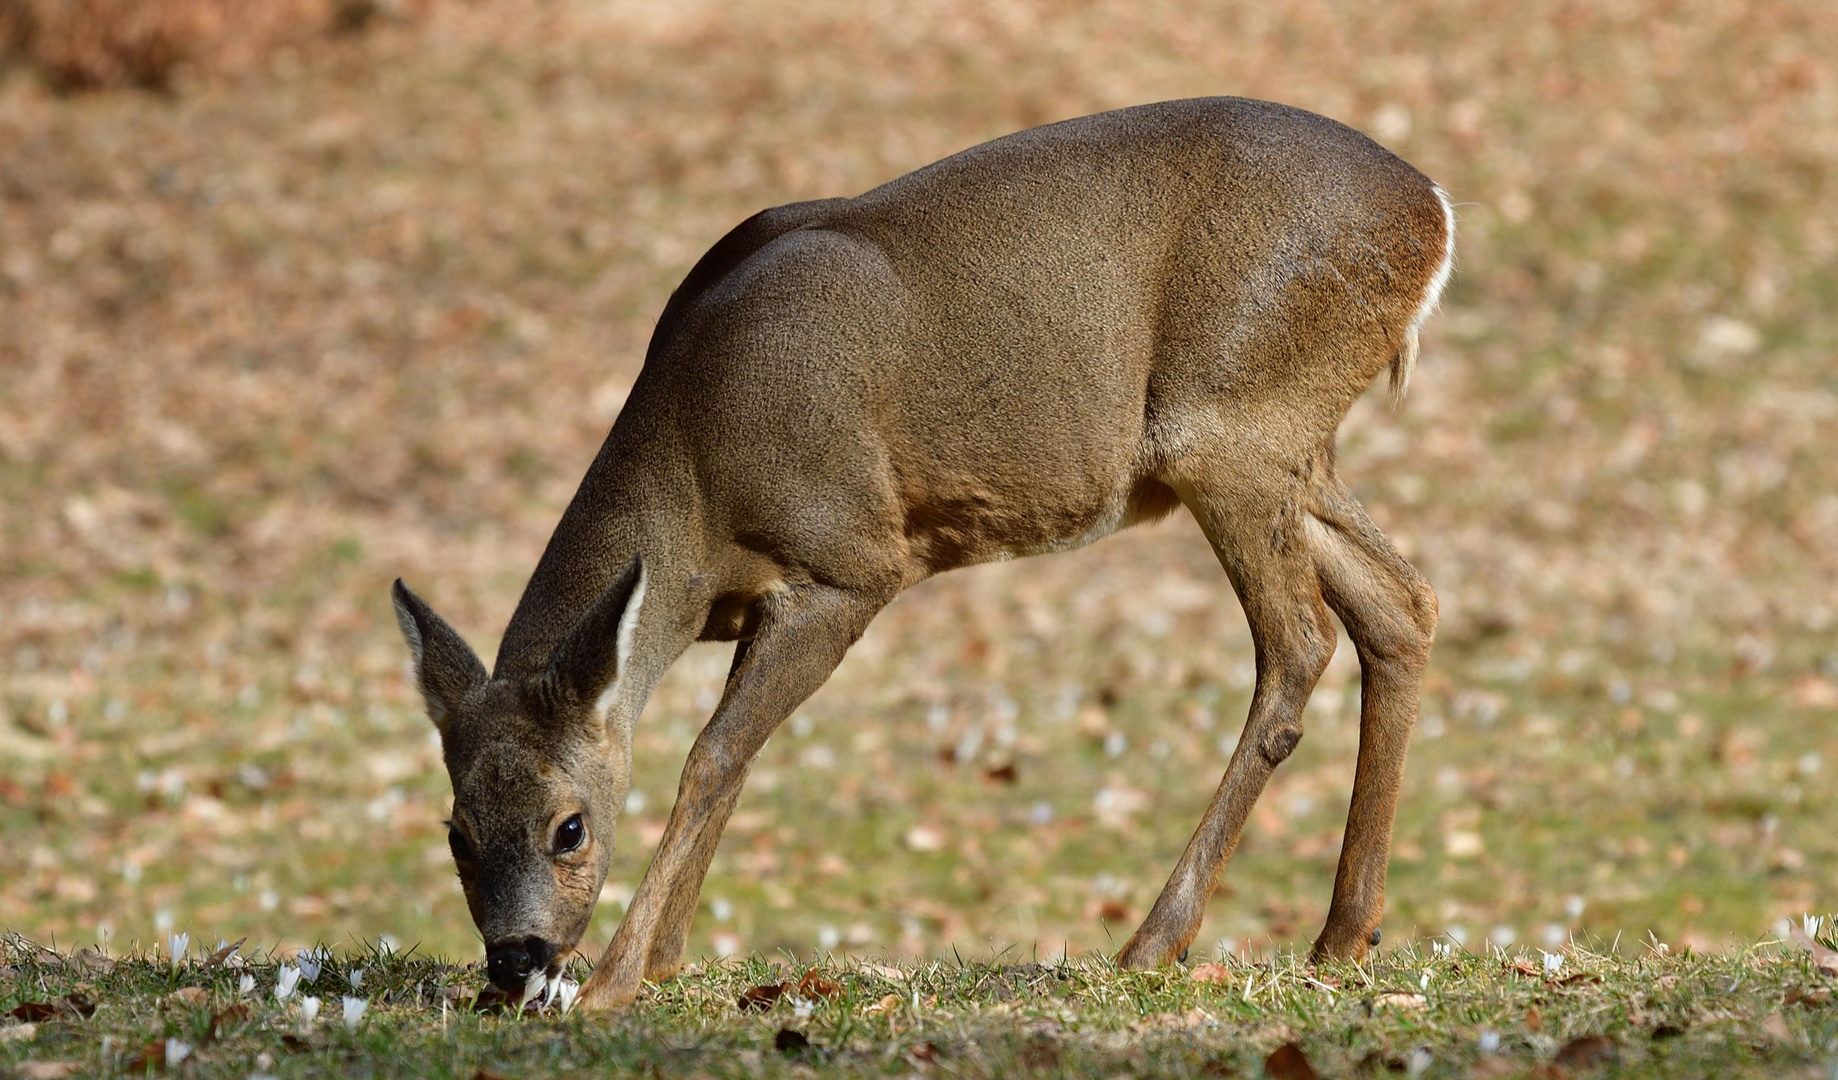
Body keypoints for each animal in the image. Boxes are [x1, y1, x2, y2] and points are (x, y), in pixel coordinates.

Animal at [391, 96, 1448, 1006]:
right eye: (455, 833)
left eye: (569, 827)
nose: (515, 959)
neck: (695, 495)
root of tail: (1431, 211)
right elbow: (733, 757)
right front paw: (661, 958)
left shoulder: (848, 563)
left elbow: (713, 753)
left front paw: (617, 980)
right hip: (1289, 448)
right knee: (1401, 604)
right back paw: (1342, 936)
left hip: (1228, 424)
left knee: (1300, 640)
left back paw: (1154, 943)